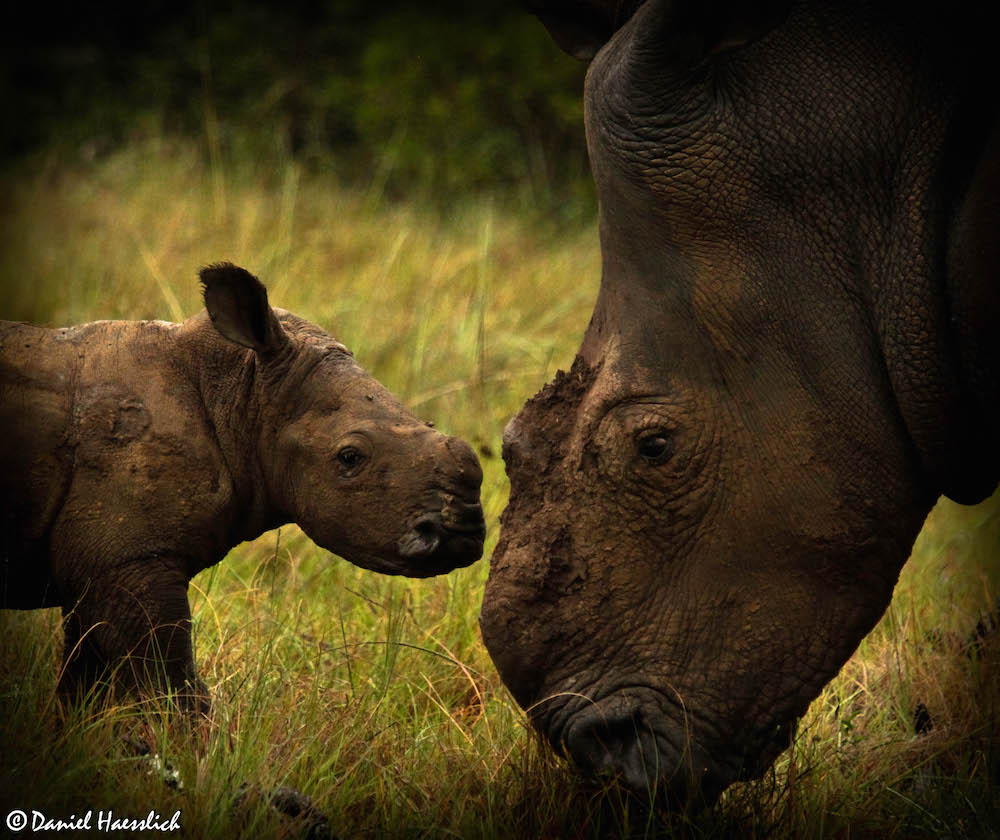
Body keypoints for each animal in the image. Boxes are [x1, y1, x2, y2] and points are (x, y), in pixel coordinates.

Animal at [0, 262, 484, 708]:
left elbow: (85, 686)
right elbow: (170, 685)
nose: (461, 533)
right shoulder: (127, 557)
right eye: (349, 458)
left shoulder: (103, 565)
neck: (241, 392)